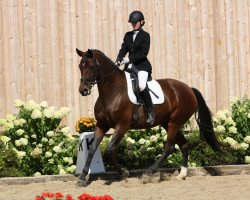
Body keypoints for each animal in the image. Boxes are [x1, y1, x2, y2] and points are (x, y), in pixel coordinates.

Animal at [76, 48, 221, 186]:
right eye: (80, 66)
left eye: (91, 66)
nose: (83, 90)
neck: (112, 92)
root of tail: (189, 89)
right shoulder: (101, 125)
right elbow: (92, 148)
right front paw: (82, 178)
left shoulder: (122, 126)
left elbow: (109, 150)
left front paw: (124, 172)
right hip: (168, 123)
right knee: (184, 145)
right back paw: (182, 174)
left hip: (174, 123)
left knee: (169, 148)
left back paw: (148, 173)